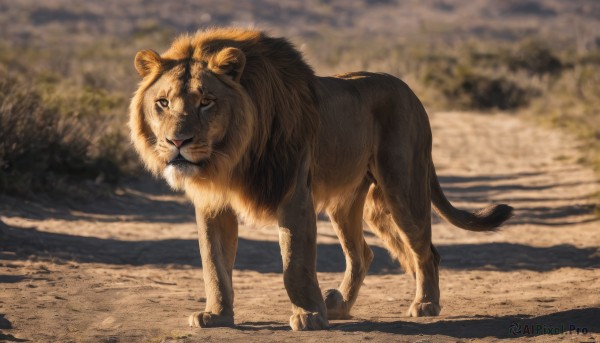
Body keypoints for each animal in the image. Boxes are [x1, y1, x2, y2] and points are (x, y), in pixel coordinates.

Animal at [127, 28, 510, 332]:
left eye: (206, 101)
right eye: (163, 103)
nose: (178, 141)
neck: (230, 158)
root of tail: (410, 92)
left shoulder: (294, 193)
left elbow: (294, 262)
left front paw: (309, 315)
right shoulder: (212, 203)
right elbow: (213, 263)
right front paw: (217, 315)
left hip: (403, 187)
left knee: (426, 251)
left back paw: (425, 303)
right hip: (354, 206)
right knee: (363, 253)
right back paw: (340, 305)